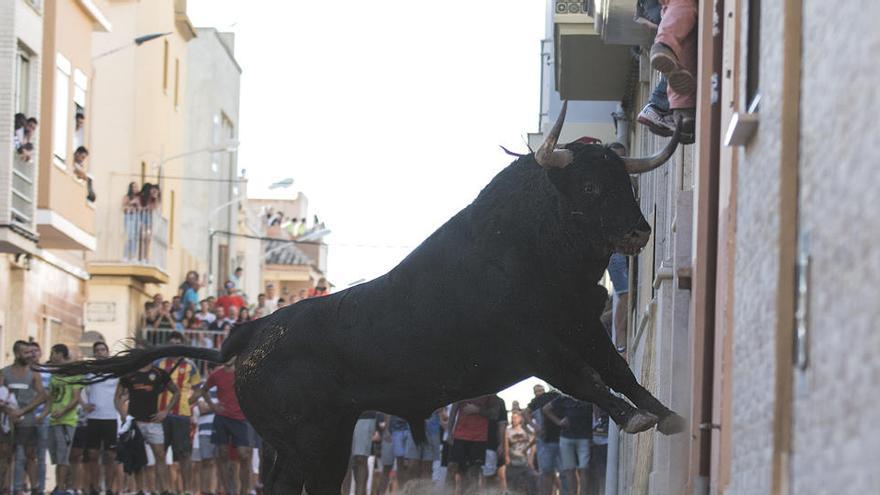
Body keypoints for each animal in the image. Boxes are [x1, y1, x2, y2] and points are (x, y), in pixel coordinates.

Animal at [43, 110, 688, 494]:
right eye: (590, 186)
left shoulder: (582, 326)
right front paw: (637, 418)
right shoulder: (536, 348)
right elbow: (587, 383)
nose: (639, 232)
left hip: (319, 440)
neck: (532, 243)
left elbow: (619, 373)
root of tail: (249, 336)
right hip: (307, 441)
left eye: (625, 182)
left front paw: (666, 413)